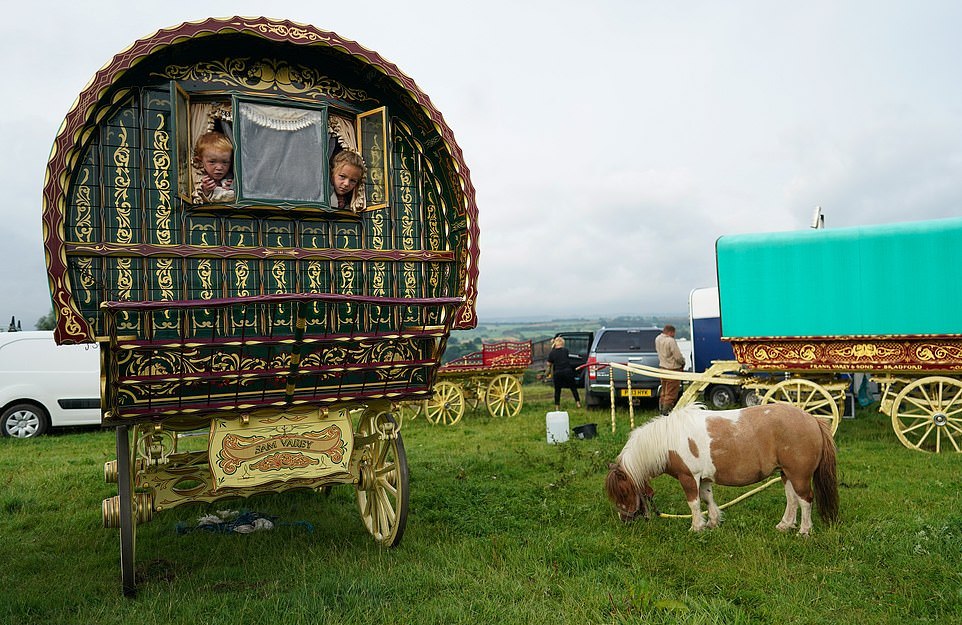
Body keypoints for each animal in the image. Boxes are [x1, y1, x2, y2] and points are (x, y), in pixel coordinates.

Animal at [604, 404, 836, 536]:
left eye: (623, 492)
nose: (625, 520)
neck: (668, 440)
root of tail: (813, 419)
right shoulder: (704, 478)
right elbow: (707, 499)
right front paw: (713, 523)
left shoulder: (688, 477)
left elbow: (694, 503)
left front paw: (696, 527)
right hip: (786, 473)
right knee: (792, 499)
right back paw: (785, 525)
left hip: (799, 475)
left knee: (805, 500)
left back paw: (804, 531)